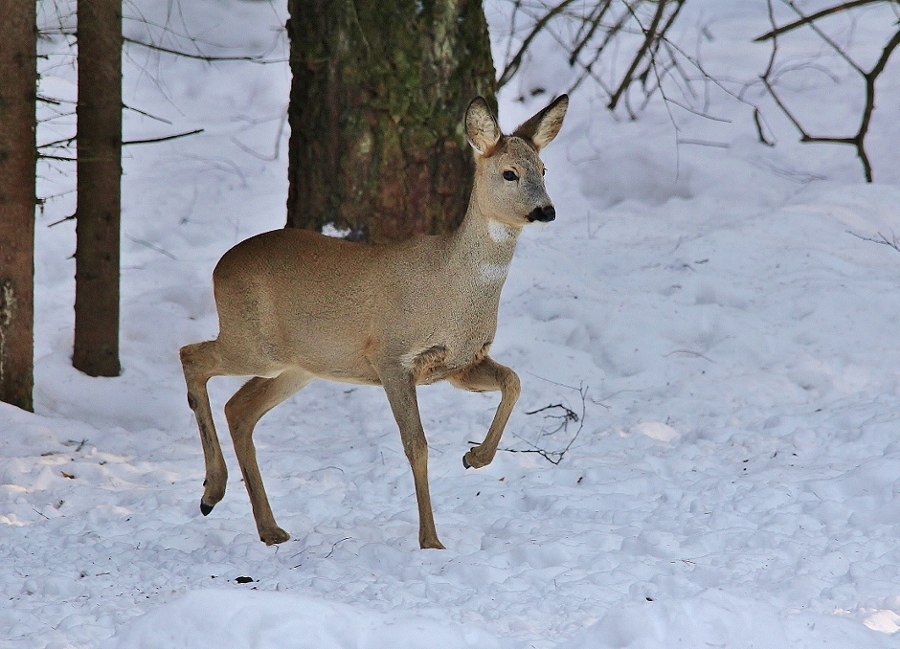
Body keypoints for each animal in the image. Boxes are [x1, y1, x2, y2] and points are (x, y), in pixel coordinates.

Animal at [179, 93, 568, 548]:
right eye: (510, 173)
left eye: (543, 169)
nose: (546, 210)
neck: (452, 289)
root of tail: (218, 268)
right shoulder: (391, 356)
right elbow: (416, 445)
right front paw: (431, 541)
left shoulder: (459, 363)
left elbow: (513, 381)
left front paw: (475, 457)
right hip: (251, 342)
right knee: (191, 356)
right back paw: (212, 491)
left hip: (299, 365)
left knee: (239, 408)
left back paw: (269, 528)